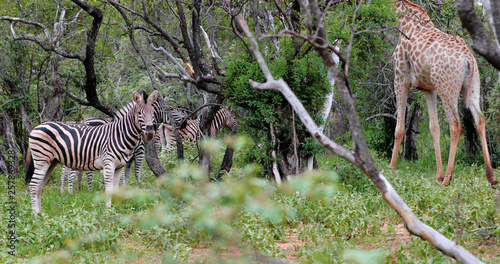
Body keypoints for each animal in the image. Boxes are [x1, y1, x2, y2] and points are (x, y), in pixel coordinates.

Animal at [25, 91, 158, 212]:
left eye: (153, 113)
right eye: (139, 113)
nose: (150, 133)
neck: (119, 134)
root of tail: (39, 125)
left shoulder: (119, 167)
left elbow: (115, 189)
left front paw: (114, 211)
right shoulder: (109, 163)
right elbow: (109, 189)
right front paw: (108, 211)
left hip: (51, 161)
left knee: (40, 186)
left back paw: (41, 214)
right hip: (42, 160)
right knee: (33, 185)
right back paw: (36, 215)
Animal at [392, 0, 498, 186]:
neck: (404, 19)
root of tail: (468, 59)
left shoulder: (400, 78)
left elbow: (399, 128)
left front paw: (390, 169)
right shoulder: (428, 88)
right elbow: (434, 127)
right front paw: (438, 174)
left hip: (446, 87)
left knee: (456, 124)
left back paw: (448, 178)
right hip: (472, 85)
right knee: (480, 119)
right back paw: (490, 176)